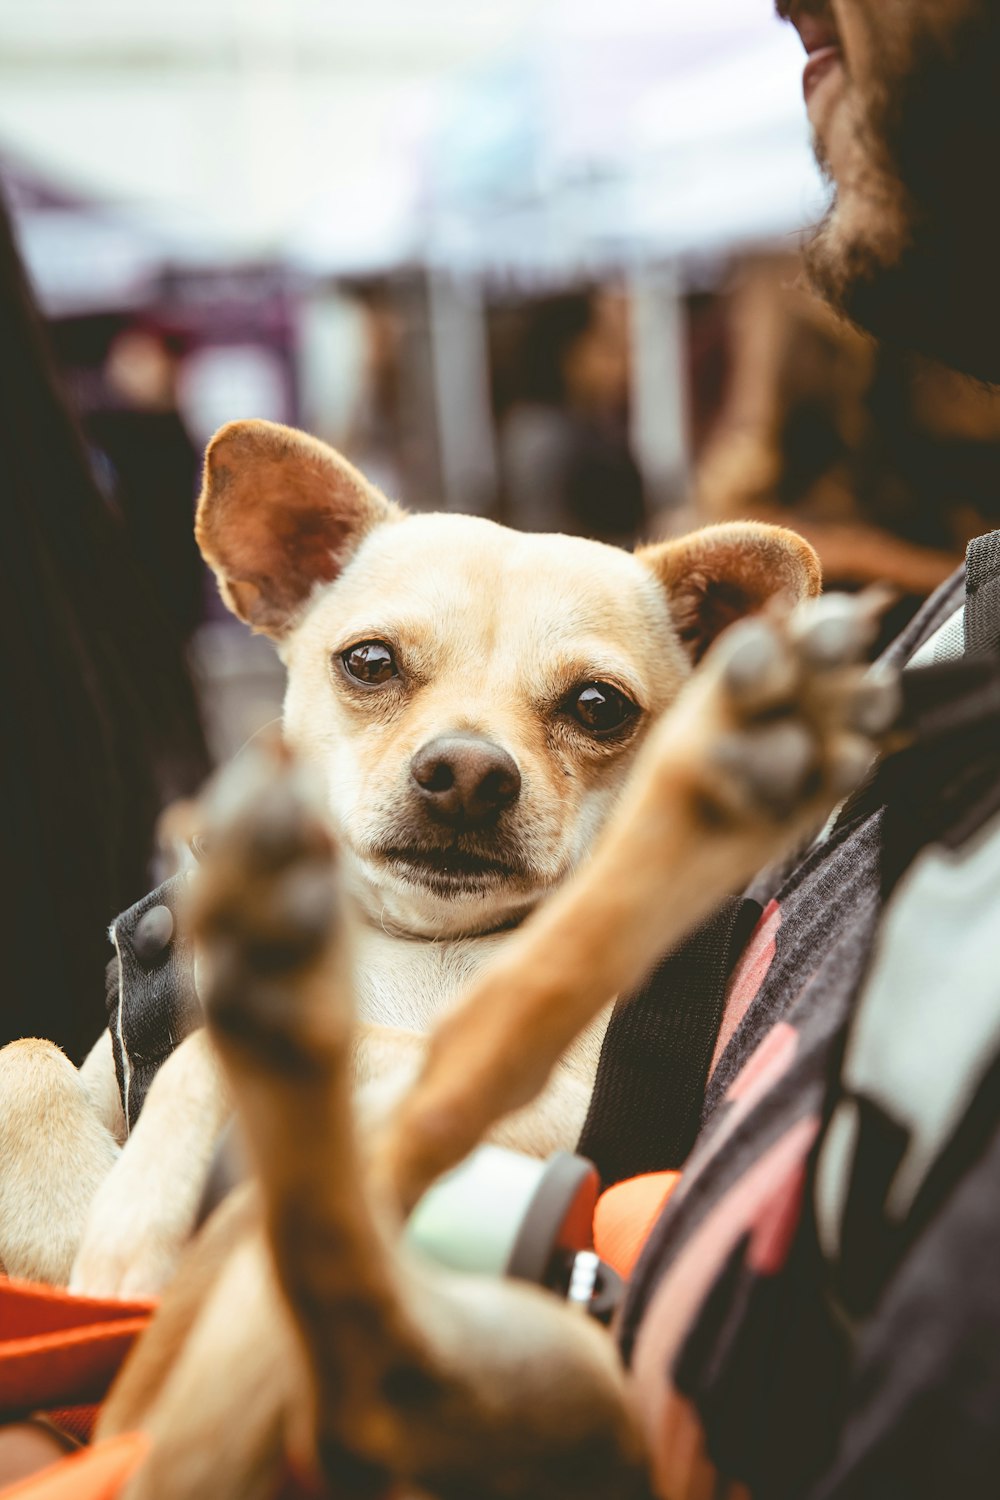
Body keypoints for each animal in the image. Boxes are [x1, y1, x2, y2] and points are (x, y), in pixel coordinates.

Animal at [1, 420, 839, 1302]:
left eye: (598, 707)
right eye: (370, 662)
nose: (468, 773)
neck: (416, 942)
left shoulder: (554, 1101)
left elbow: (216, 1056)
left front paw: (136, 1216)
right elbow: (21, 1058)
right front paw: (61, 1209)